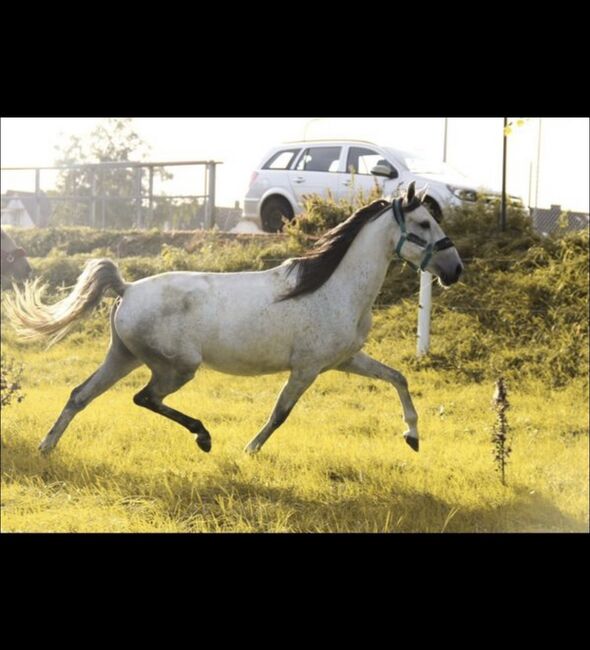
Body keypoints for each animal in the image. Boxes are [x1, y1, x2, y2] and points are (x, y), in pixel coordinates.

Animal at [4, 181, 464, 456]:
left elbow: (398, 378)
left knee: (80, 394)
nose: (455, 269)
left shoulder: (346, 360)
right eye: (423, 222)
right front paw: (250, 450)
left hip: (124, 357)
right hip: (176, 368)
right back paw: (203, 436)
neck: (334, 287)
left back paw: (46, 447)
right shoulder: (307, 368)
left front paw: (412, 437)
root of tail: (128, 288)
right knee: (144, 398)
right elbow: (280, 413)